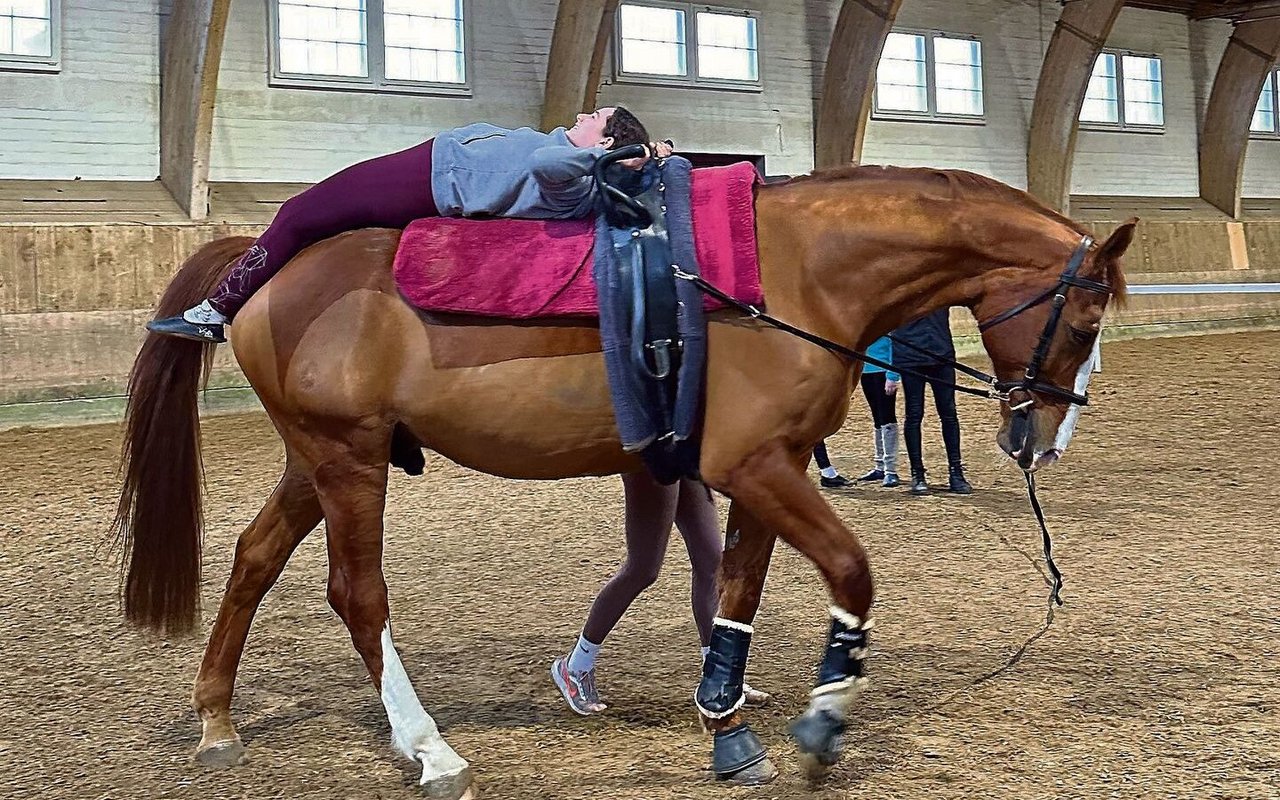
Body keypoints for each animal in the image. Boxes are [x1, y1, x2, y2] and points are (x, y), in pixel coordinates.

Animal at [110, 165, 1131, 793]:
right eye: (1083, 321)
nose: (1043, 438)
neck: (793, 273)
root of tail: (260, 269)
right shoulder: (755, 465)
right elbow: (852, 572)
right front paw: (825, 719)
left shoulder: (763, 469)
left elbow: (736, 596)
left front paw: (727, 721)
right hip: (347, 458)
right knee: (356, 593)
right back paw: (430, 749)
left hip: (313, 461)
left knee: (252, 558)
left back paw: (216, 719)